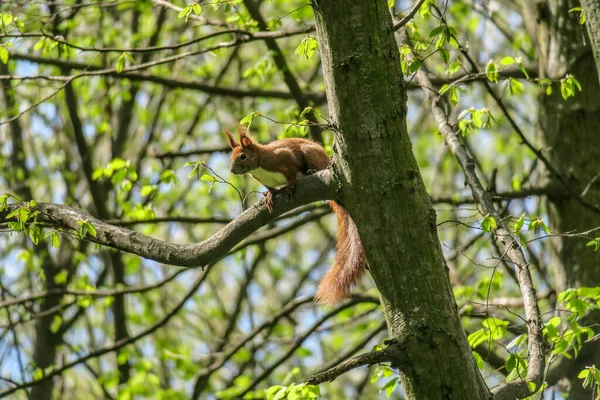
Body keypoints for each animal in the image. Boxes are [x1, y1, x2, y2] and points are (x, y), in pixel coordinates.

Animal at [225, 125, 366, 304]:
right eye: (231, 156)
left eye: (243, 156)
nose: (232, 170)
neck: (259, 166)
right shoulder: (263, 180)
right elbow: (270, 188)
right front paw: (269, 195)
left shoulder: (284, 158)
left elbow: (292, 172)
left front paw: (290, 186)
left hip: (311, 153)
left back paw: (312, 171)